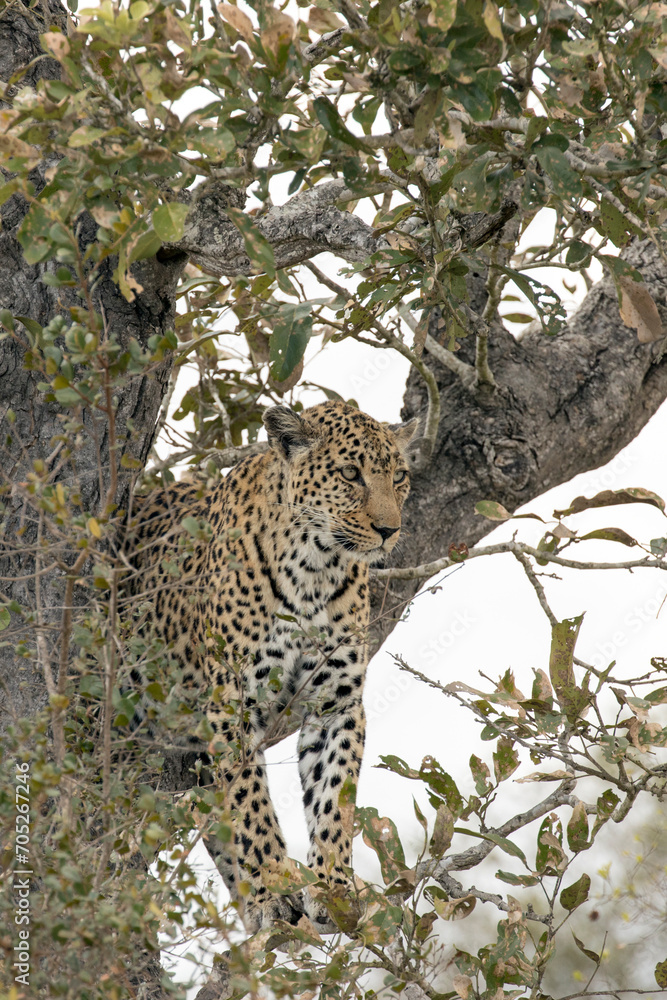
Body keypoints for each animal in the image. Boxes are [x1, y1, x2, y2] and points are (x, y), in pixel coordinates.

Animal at [127, 400, 417, 932]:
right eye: (351, 474)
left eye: (400, 476)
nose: (390, 530)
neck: (315, 569)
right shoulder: (233, 703)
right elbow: (251, 802)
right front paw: (274, 889)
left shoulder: (335, 703)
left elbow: (334, 796)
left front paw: (333, 886)